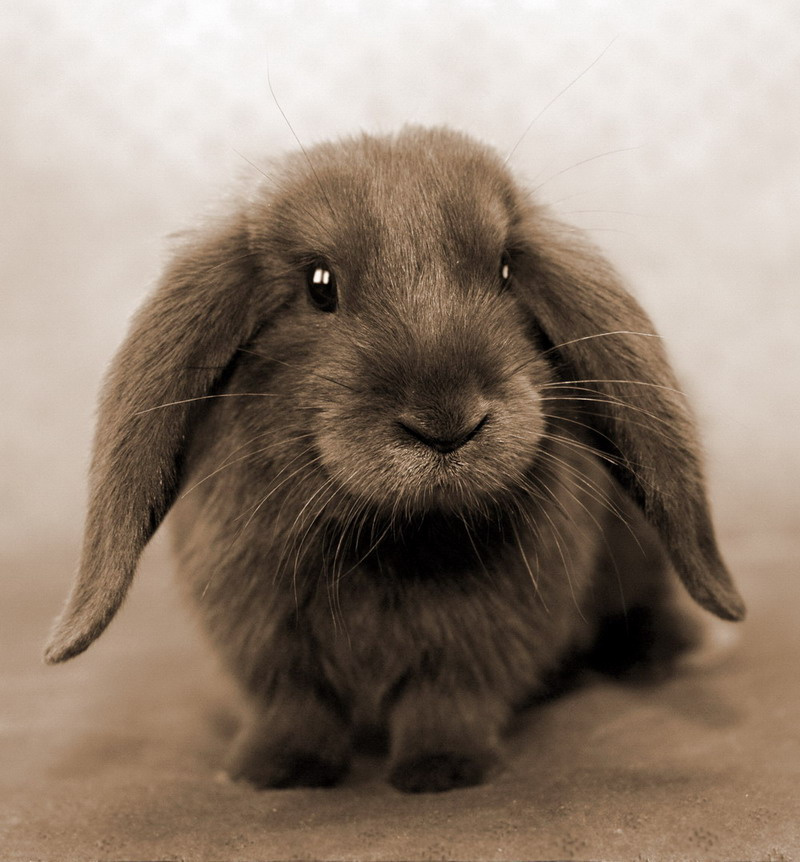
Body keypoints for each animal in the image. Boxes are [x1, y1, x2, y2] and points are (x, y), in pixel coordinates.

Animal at [44, 126, 745, 793]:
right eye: (319, 285)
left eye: (506, 271)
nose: (448, 424)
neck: (397, 535)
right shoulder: (267, 638)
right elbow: (295, 707)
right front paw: (273, 772)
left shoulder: (482, 641)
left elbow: (448, 701)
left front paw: (443, 771)